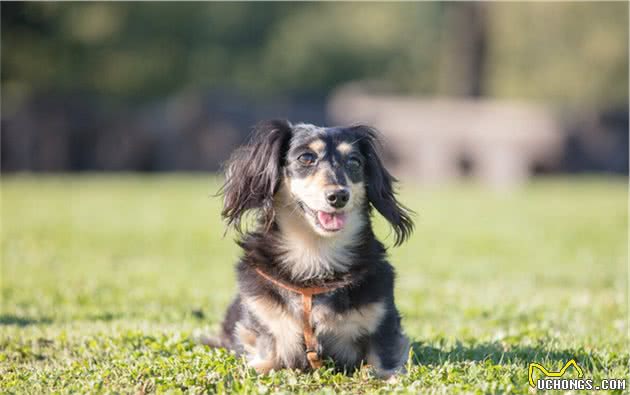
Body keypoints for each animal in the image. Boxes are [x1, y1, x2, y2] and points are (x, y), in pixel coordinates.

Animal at [215, 120, 418, 378]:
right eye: (306, 158)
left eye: (354, 162)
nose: (338, 196)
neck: (314, 256)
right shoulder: (261, 320)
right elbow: (267, 352)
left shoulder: (383, 322)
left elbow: (383, 359)